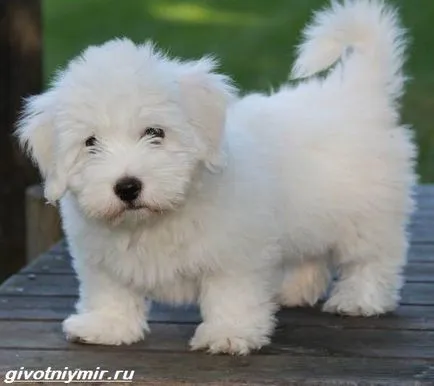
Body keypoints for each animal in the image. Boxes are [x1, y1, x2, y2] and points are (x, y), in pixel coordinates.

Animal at [17, 0, 418, 354]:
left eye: (155, 132)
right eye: (91, 143)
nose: (127, 187)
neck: (159, 218)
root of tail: (355, 93)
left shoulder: (237, 254)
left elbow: (231, 295)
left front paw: (228, 334)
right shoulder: (99, 257)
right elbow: (109, 291)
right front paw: (105, 326)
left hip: (369, 216)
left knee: (374, 258)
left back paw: (360, 298)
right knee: (311, 254)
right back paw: (292, 289)